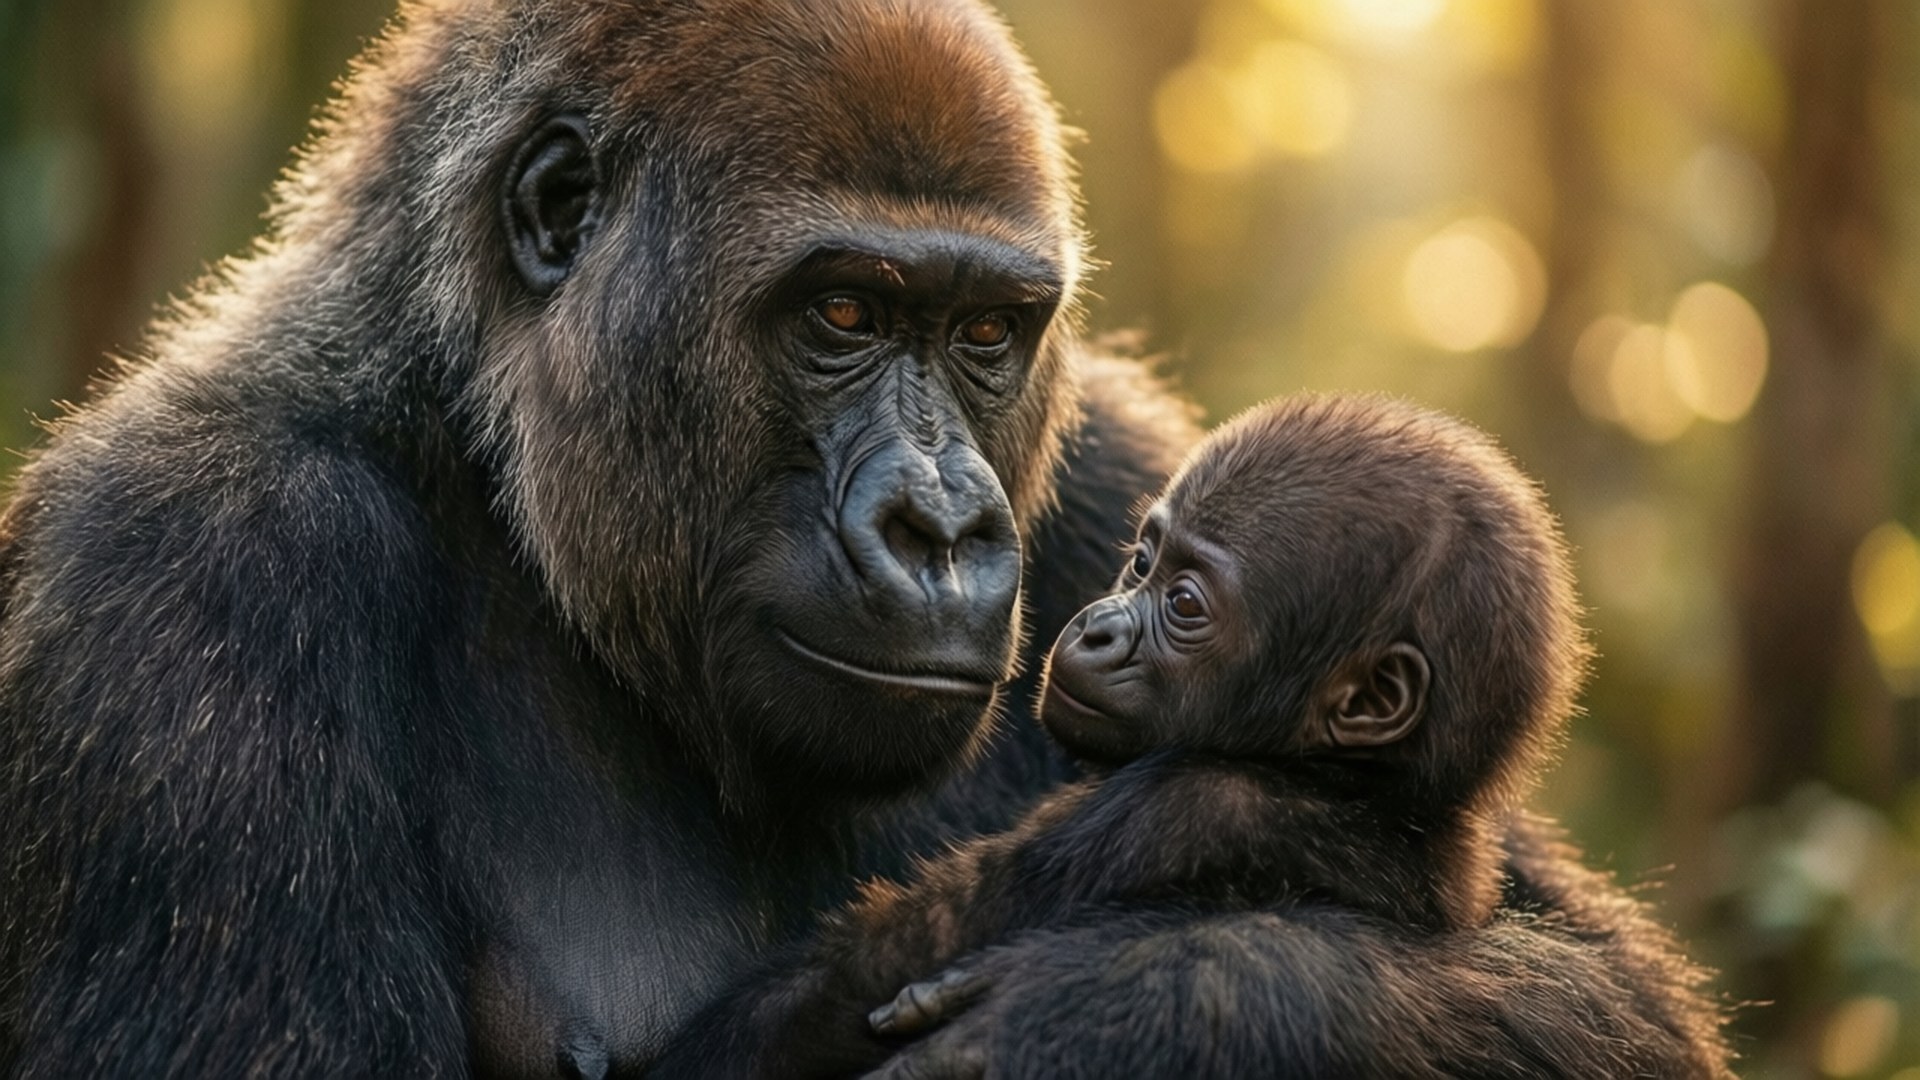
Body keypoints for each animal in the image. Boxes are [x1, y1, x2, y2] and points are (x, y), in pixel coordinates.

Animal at [646, 394, 1732, 1080]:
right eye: (1141, 559)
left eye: (1184, 605)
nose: (1095, 628)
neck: (1353, 785)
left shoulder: (1165, 811)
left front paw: (1133, 1012)